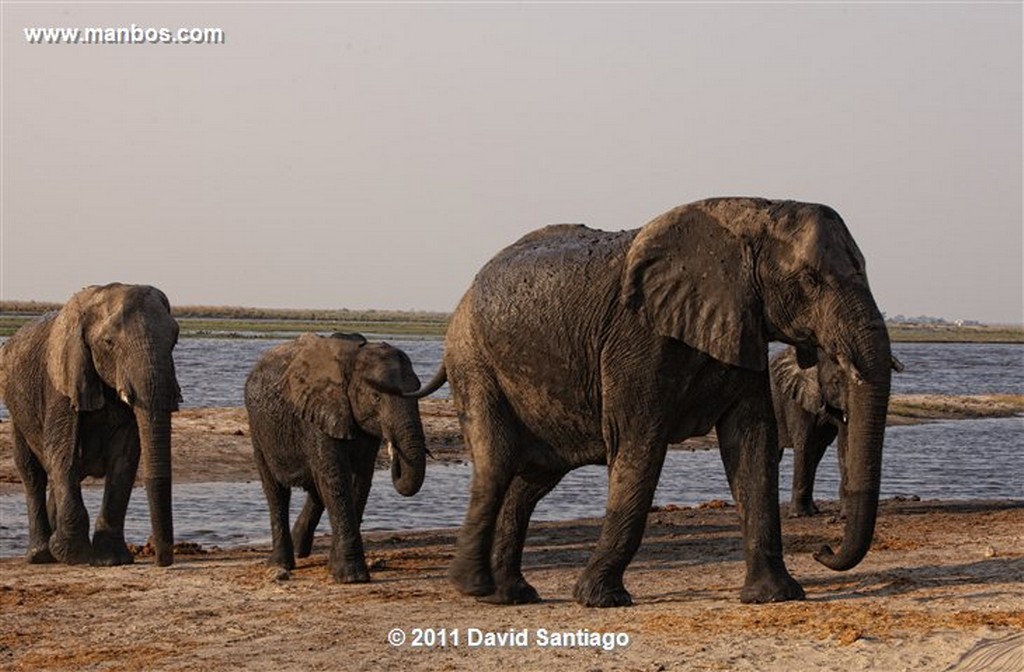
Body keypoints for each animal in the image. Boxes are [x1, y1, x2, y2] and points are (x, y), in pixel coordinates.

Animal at [0, 282, 182, 565]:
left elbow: (125, 459)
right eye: (108, 343)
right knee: (32, 473)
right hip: (16, 410)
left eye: (175, 338)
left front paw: (111, 559)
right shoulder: (61, 384)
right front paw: (74, 555)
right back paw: (40, 555)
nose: (162, 561)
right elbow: (63, 454)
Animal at [243, 331, 428, 581]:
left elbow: (360, 480)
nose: (395, 452)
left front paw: (337, 569)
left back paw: (301, 551)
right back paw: (280, 563)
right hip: (258, 429)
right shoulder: (316, 416)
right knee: (277, 492)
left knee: (316, 488)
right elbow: (336, 478)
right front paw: (351, 577)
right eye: (376, 397)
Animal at [770, 344, 905, 516]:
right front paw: (799, 515)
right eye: (836, 382)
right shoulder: (795, 398)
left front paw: (846, 514)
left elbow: (845, 444)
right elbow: (805, 444)